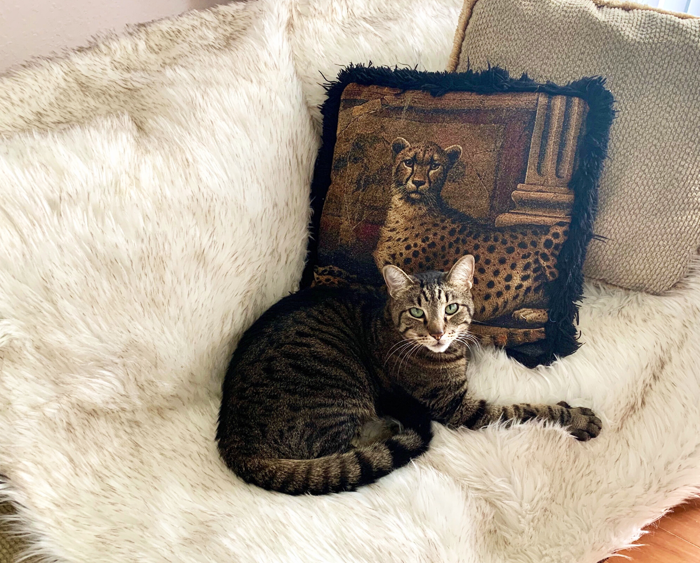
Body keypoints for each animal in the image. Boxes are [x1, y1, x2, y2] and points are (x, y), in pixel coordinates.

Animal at [216, 256, 600, 498]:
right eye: (417, 312)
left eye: (451, 308)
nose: (438, 333)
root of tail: (232, 441)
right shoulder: (459, 408)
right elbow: (526, 410)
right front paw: (576, 417)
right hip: (339, 391)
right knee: (347, 448)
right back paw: (391, 425)